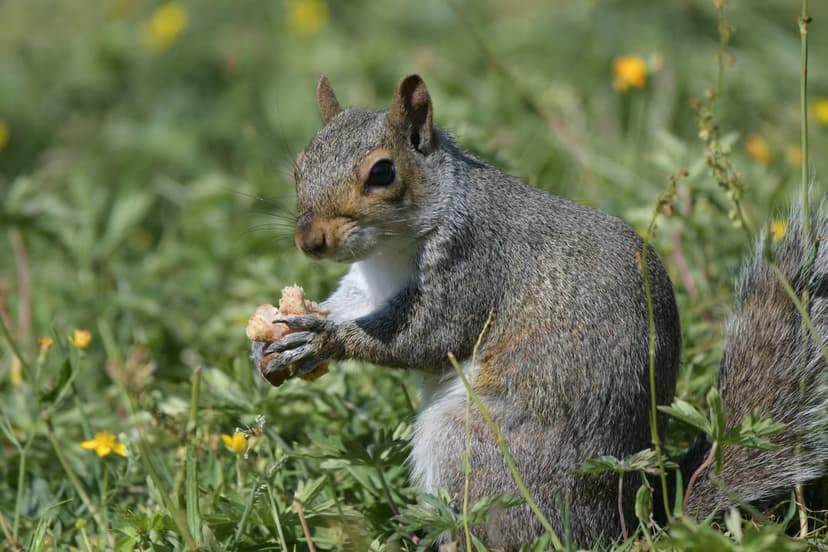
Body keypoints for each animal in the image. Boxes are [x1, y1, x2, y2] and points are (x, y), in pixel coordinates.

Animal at [251, 74, 828, 549]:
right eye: (299, 165)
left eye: (383, 172)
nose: (309, 239)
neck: (392, 248)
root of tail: (622, 524)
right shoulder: (369, 283)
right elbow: (350, 305)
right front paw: (273, 342)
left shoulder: (473, 265)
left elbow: (425, 338)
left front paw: (325, 339)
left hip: (475, 446)